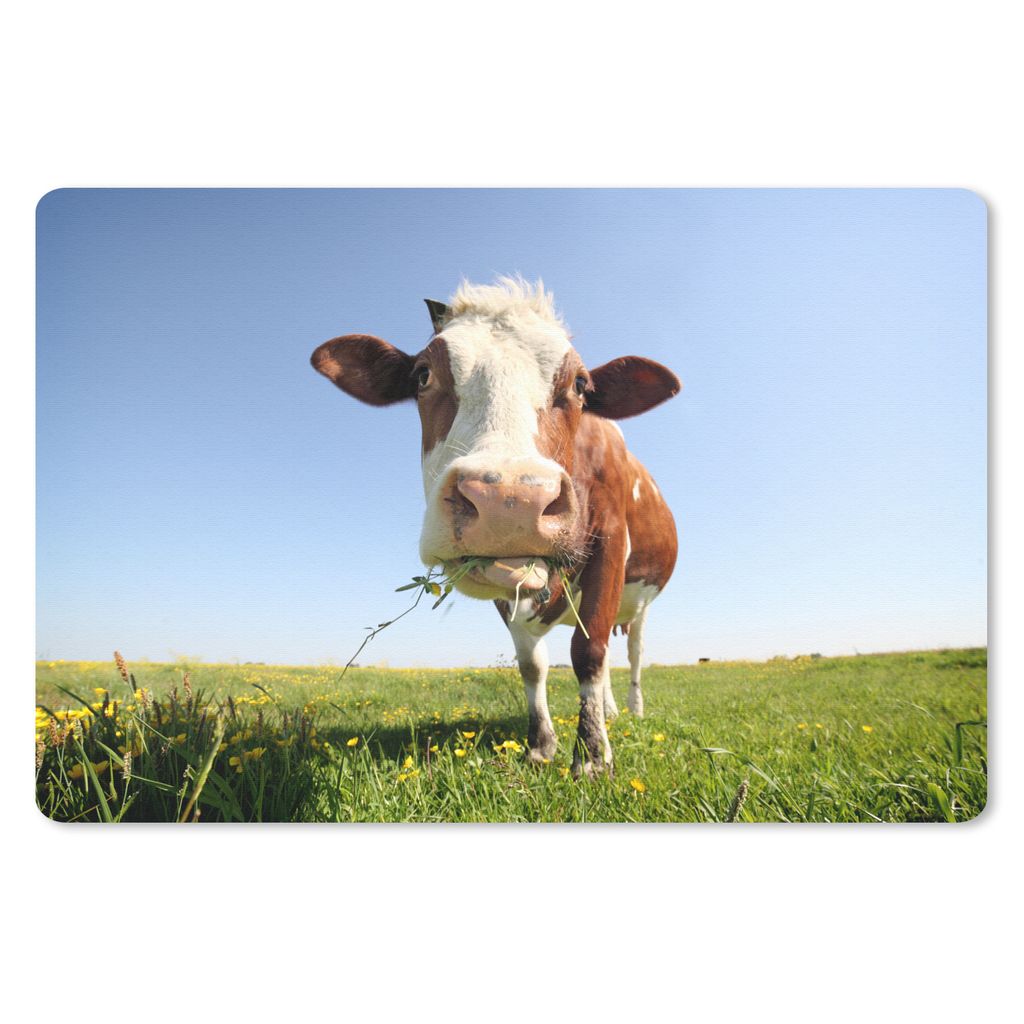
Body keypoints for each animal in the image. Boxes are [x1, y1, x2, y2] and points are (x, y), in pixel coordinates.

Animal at [311, 278, 679, 778]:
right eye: (422, 375)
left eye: (580, 384)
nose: (510, 500)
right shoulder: (506, 581)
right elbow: (532, 664)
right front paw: (542, 745)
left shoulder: (609, 543)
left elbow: (589, 653)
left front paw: (591, 757)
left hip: (639, 603)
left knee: (631, 652)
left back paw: (632, 710)